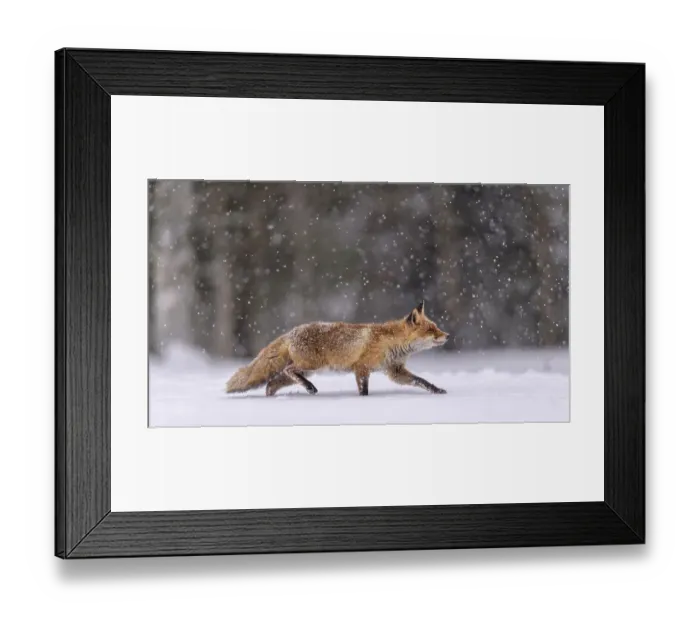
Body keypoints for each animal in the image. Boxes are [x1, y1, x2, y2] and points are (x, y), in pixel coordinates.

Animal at [225, 301, 449, 397]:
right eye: (431, 330)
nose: (447, 335)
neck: (391, 343)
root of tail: (291, 332)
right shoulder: (362, 368)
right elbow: (364, 391)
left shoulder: (394, 371)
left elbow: (421, 381)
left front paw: (437, 390)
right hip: (311, 365)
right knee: (288, 371)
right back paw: (309, 388)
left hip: (306, 369)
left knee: (271, 383)